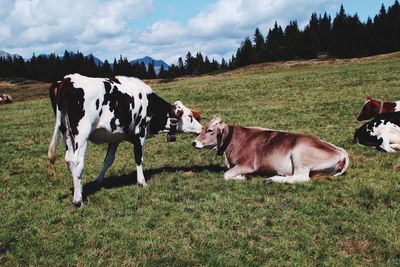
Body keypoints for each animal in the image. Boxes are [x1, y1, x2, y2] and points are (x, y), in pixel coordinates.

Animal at [48, 73, 202, 207]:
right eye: (190, 116)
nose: (201, 128)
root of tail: (67, 79)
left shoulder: (115, 137)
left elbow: (108, 160)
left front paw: (99, 180)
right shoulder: (140, 132)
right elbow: (139, 158)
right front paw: (142, 182)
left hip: (66, 135)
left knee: (69, 160)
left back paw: (78, 190)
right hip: (81, 135)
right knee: (77, 162)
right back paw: (78, 200)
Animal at [192, 117, 348, 184]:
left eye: (210, 130)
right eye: (203, 127)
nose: (194, 142)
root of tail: (341, 151)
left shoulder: (248, 164)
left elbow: (226, 175)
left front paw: (244, 177)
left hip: (300, 155)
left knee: (301, 177)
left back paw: (272, 179)